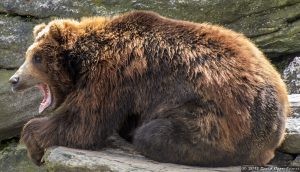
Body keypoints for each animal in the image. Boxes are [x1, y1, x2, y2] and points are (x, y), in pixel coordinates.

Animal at [9, 11, 290, 167]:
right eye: (27, 54)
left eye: (36, 58)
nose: (13, 80)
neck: (81, 60)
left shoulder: (110, 76)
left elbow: (83, 123)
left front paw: (33, 142)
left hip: (218, 116)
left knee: (156, 134)